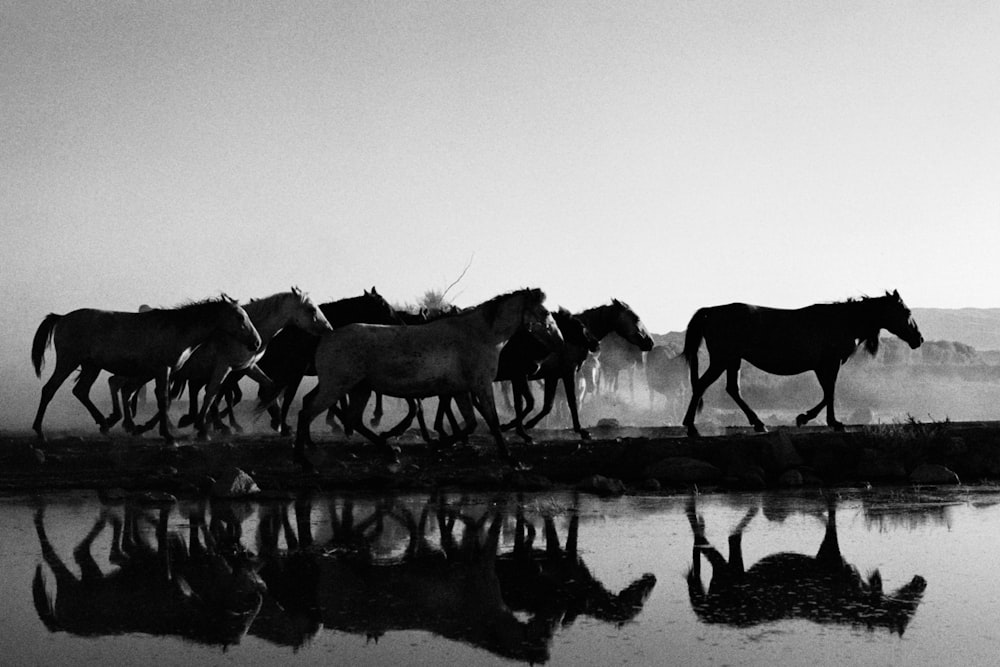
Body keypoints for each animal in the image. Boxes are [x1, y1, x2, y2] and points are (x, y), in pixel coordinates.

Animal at [31, 296, 260, 444]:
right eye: (240, 317)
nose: (256, 343)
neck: (178, 330)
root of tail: (62, 317)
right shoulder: (163, 370)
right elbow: (163, 399)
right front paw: (168, 436)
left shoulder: (163, 372)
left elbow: (164, 399)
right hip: (68, 361)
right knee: (49, 390)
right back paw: (40, 431)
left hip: (91, 366)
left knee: (81, 391)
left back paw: (105, 423)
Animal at [294, 286, 564, 464]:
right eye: (545, 313)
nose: (560, 342)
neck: (480, 335)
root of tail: (327, 336)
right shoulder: (481, 385)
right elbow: (492, 420)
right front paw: (508, 455)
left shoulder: (461, 390)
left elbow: (471, 423)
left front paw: (438, 445)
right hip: (337, 387)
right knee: (307, 412)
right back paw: (302, 457)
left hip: (360, 388)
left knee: (351, 419)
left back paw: (389, 449)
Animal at [516, 300, 656, 440]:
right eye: (636, 318)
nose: (650, 342)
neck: (574, 334)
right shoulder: (568, 372)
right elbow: (571, 401)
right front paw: (580, 430)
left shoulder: (553, 375)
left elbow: (548, 405)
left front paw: (525, 423)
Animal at [680, 288, 920, 436]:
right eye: (906, 311)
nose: (918, 339)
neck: (843, 320)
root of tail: (711, 311)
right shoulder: (829, 364)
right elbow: (830, 392)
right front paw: (823, 421)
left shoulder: (823, 366)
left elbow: (828, 392)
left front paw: (810, 418)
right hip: (722, 359)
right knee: (702, 385)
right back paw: (691, 427)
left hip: (733, 360)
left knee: (732, 389)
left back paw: (758, 423)